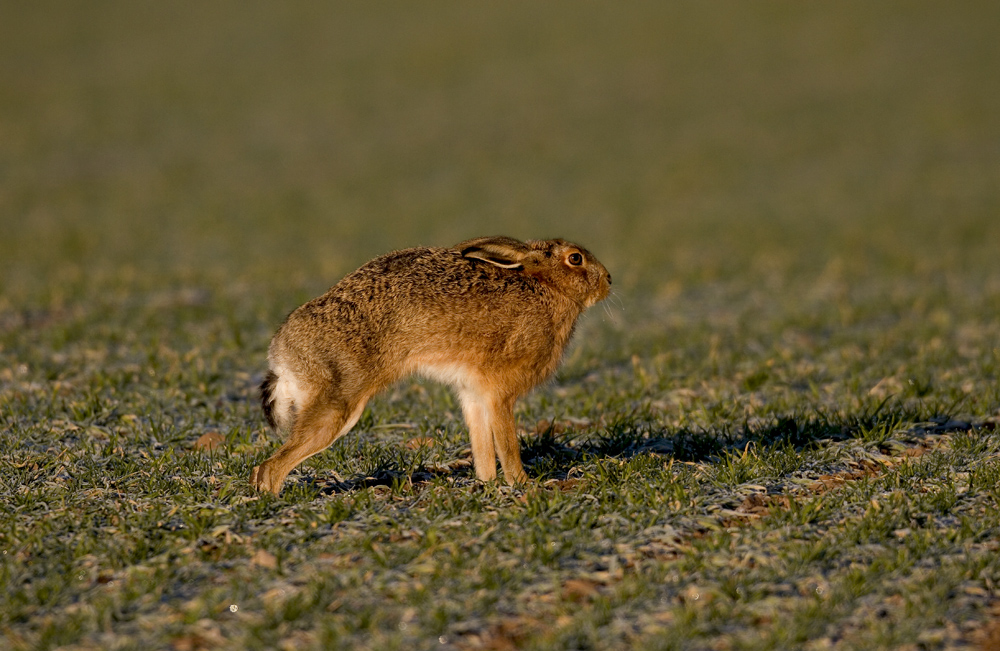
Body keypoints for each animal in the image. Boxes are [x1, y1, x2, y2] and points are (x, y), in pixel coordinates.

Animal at [251, 236, 612, 495]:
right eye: (575, 258)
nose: (608, 280)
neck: (548, 287)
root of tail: (281, 354)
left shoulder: (474, 394)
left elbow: (482, 444)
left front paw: (487, 482)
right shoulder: (500, 394)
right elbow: (507, 444)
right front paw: (523, 484)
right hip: (337, 404)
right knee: (271, 467)